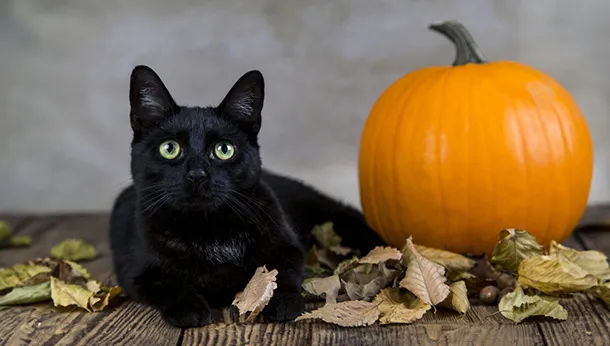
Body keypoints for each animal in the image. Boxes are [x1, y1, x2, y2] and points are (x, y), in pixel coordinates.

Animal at [108, 65, 382, 328]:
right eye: (169, 148)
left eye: (224, 149)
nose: (197, 175)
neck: (208, 229)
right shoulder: (137, 271)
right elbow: (169, 285)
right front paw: (190, 310)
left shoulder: (288, 246)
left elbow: (281, 272)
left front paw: (283, 302)